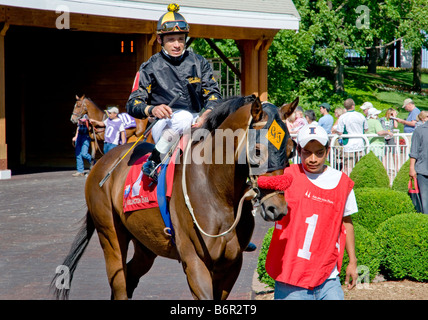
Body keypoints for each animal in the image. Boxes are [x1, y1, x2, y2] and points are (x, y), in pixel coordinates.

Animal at [53, 95, 300, 300]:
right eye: (257, 150)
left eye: (290, 150)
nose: (277, 208)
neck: (216, 189)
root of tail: (102, 162)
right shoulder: (194, 260)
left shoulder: (231, 263)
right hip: (111, 236)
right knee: (120, 284)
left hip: (145, 244)